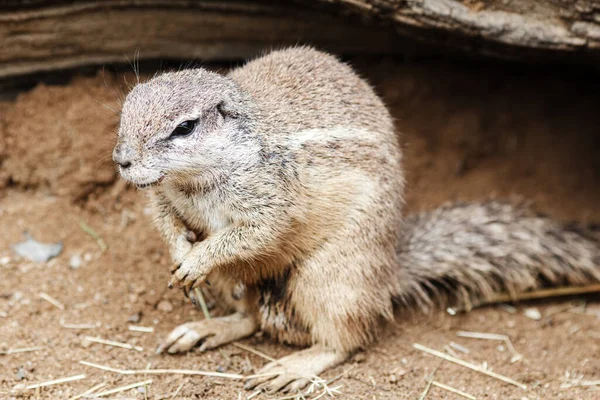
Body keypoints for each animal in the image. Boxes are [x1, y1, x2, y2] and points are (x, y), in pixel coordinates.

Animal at [112, 47, 600, 394]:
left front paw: (197, 258)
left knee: (345, 339)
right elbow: (167, 222)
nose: (121, 161)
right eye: (127, 106)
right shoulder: (163, 199)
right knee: (249, 318)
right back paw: (204, 328)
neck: (195, 182)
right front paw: (180, 253)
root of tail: (389, 272)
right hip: (239, 283)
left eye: (185, 127)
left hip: (331, 279)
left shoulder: (273, 200)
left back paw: (292, 367)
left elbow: (253, 234)